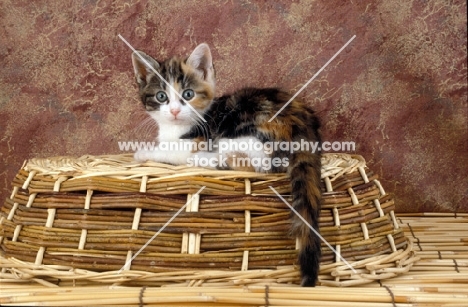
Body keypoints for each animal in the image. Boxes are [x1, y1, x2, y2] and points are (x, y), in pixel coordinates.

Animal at [131, 42, 322, 286]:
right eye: (161, 96)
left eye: (188, 94)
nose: (174, 111)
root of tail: (304, 124)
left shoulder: (198, 138)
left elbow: (174, 151)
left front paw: (143, 152)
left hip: (246, 126)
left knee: (256, 164)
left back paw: (205, 159)